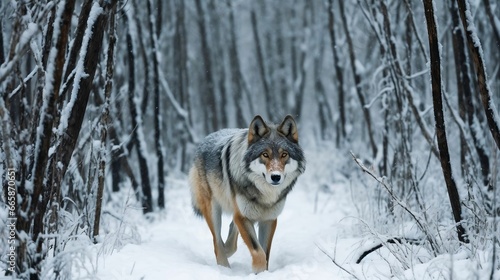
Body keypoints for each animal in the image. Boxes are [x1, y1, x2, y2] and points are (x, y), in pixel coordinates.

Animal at [188, 115, 304, 272]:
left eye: (284, 154)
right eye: (265, 155)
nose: (275, 177)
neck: (265, 194)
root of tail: (206, 139)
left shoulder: (269, 219)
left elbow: (265, 253)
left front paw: (263, 273)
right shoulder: (243, 216)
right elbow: (258, 251)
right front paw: (258, 271)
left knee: (231, 232)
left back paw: (227, 249)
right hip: (213, 210)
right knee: (217, 243)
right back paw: (224, 267)